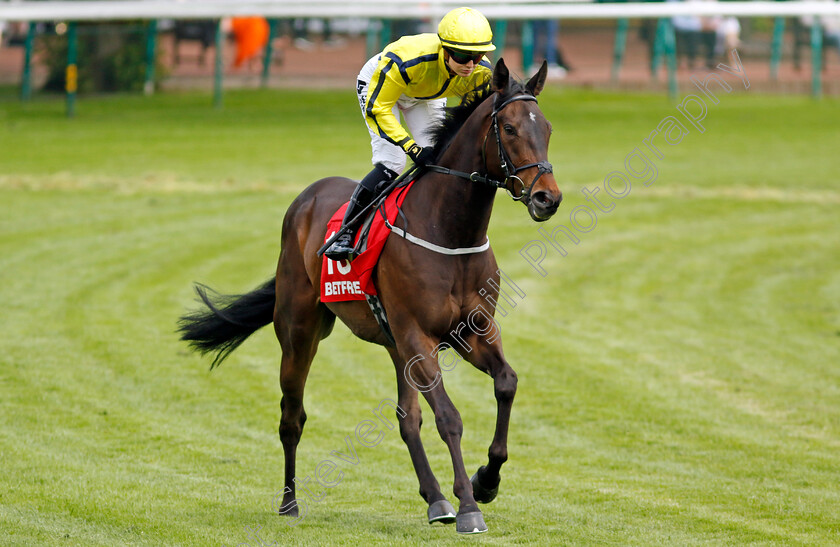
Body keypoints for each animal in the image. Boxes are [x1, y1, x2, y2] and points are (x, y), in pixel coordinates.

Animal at [182, 60, 564, 536]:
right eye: (509, 128)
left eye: (547, 127)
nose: (548, 197)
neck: (449, 230)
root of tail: (305, 199)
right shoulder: (418, 336)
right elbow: (449, 418)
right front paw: (470, 505)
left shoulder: (471, 332)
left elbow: (506, 384)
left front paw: (486, 481)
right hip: (300, 332)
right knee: (292, 416)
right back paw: (290, 503)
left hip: (395, 347)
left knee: (407, 419)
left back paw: (435, 499)